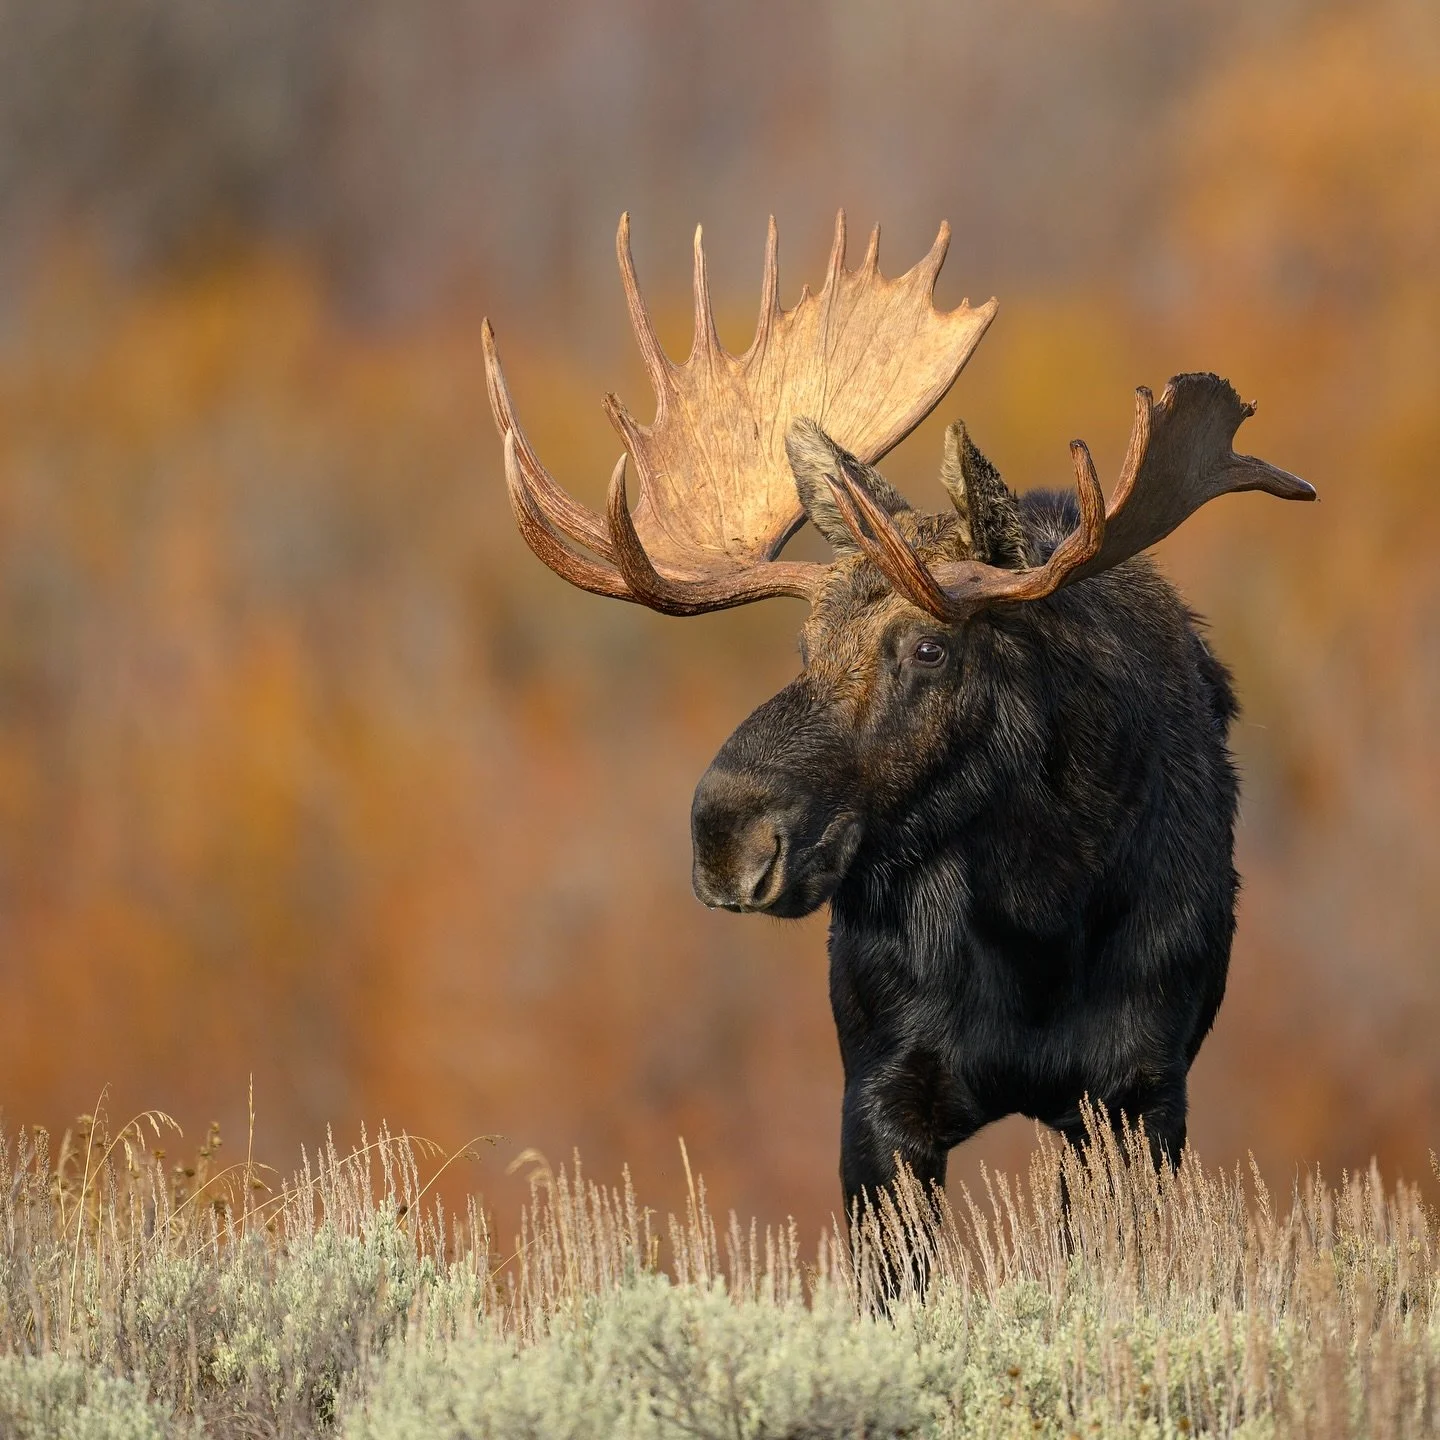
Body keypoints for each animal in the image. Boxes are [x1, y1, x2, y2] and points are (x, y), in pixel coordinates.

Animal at [482, 213, 1314, 1223]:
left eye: (929, 649)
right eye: (804, 643)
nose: (725, 833)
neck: (1042, 920)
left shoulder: (1140, 1092)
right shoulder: (881, 1091)